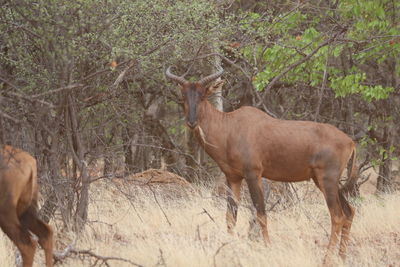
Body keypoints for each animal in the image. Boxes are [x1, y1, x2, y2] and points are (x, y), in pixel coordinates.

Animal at [164, 67, 358, 264]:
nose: (192, 122)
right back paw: (342, 257)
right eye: (182, 96)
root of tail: (350, 141)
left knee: (337, 215)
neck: (231, 126)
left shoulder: (253, 175)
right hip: (323, 181)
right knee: (349, 211)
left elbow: (261, 213)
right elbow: (230, 216)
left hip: (327, 179)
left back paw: (327, 259)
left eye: (203, 95)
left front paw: (268, 248)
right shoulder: (233, 178)